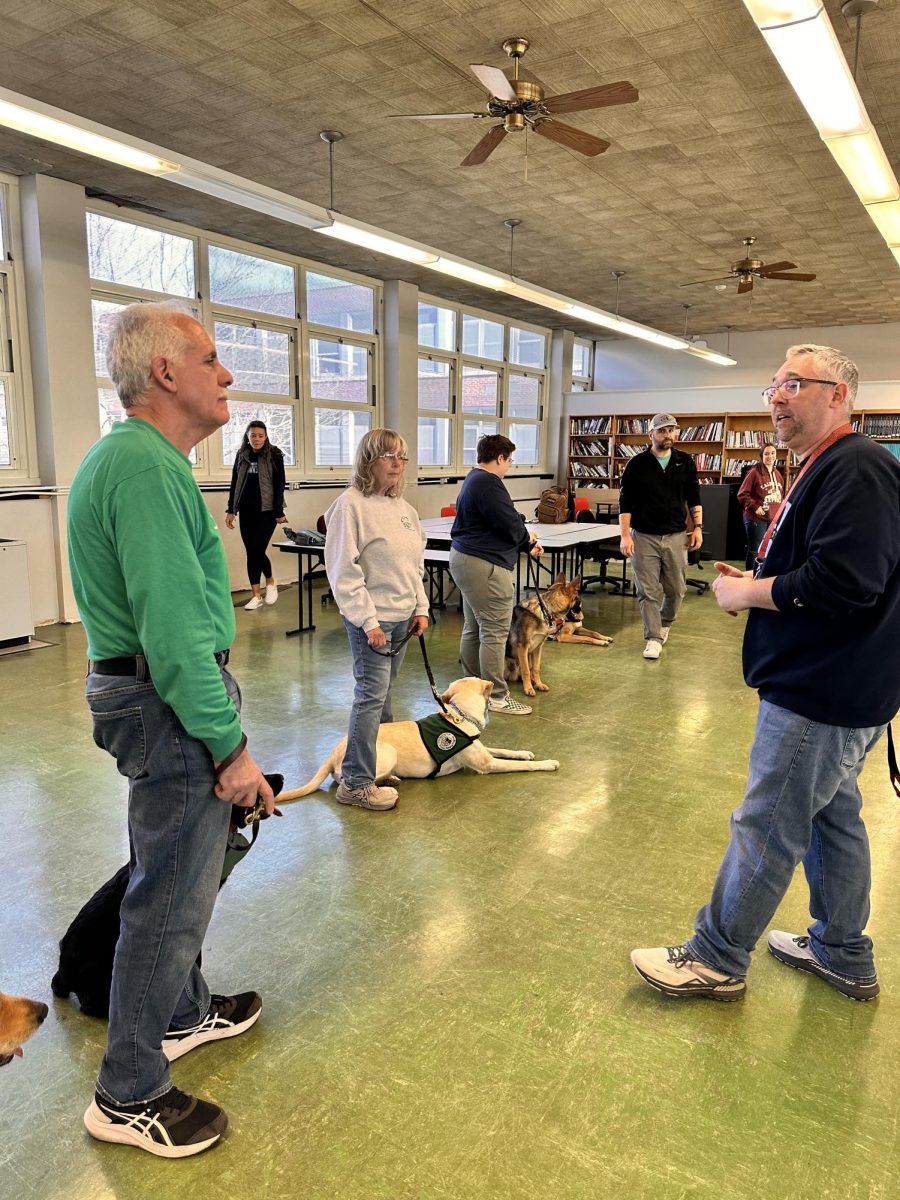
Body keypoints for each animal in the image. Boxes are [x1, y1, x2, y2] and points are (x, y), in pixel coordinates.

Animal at [285, 676, 561, 796]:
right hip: (386, 753)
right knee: (345, 779)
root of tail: (333, 751)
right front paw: (548, 763)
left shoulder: (483, 750)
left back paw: (391, 779)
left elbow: (505, 749)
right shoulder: (487, 764)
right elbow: (522, 766)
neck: (459, 716)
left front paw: (524, 752)